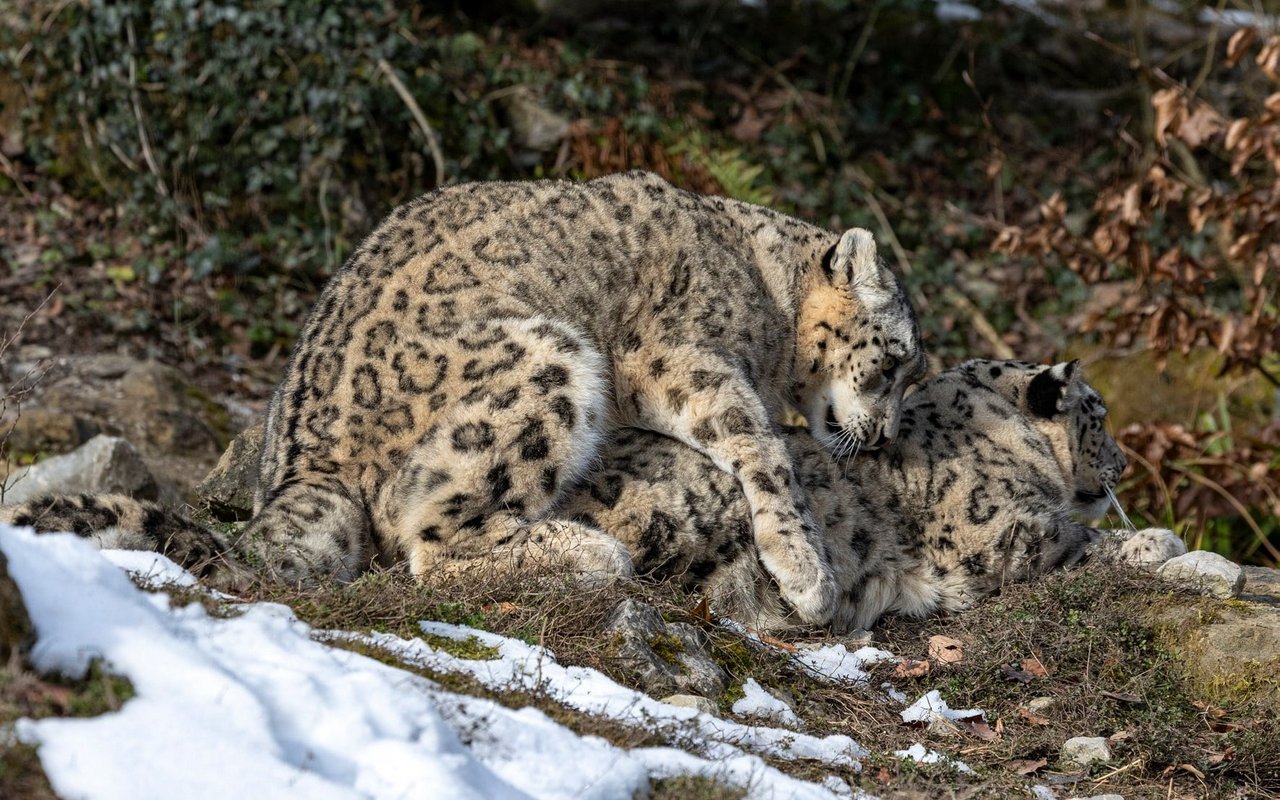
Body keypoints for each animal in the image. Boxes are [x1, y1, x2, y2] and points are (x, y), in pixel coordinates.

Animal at [0, 172, 926, 624]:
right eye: (897, 361)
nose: (883, 436)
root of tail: (304, 462)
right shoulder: (677, 354)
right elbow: (760, 446)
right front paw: (807, 574)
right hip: (549, 356)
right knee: (431, 538)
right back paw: (586, 551)